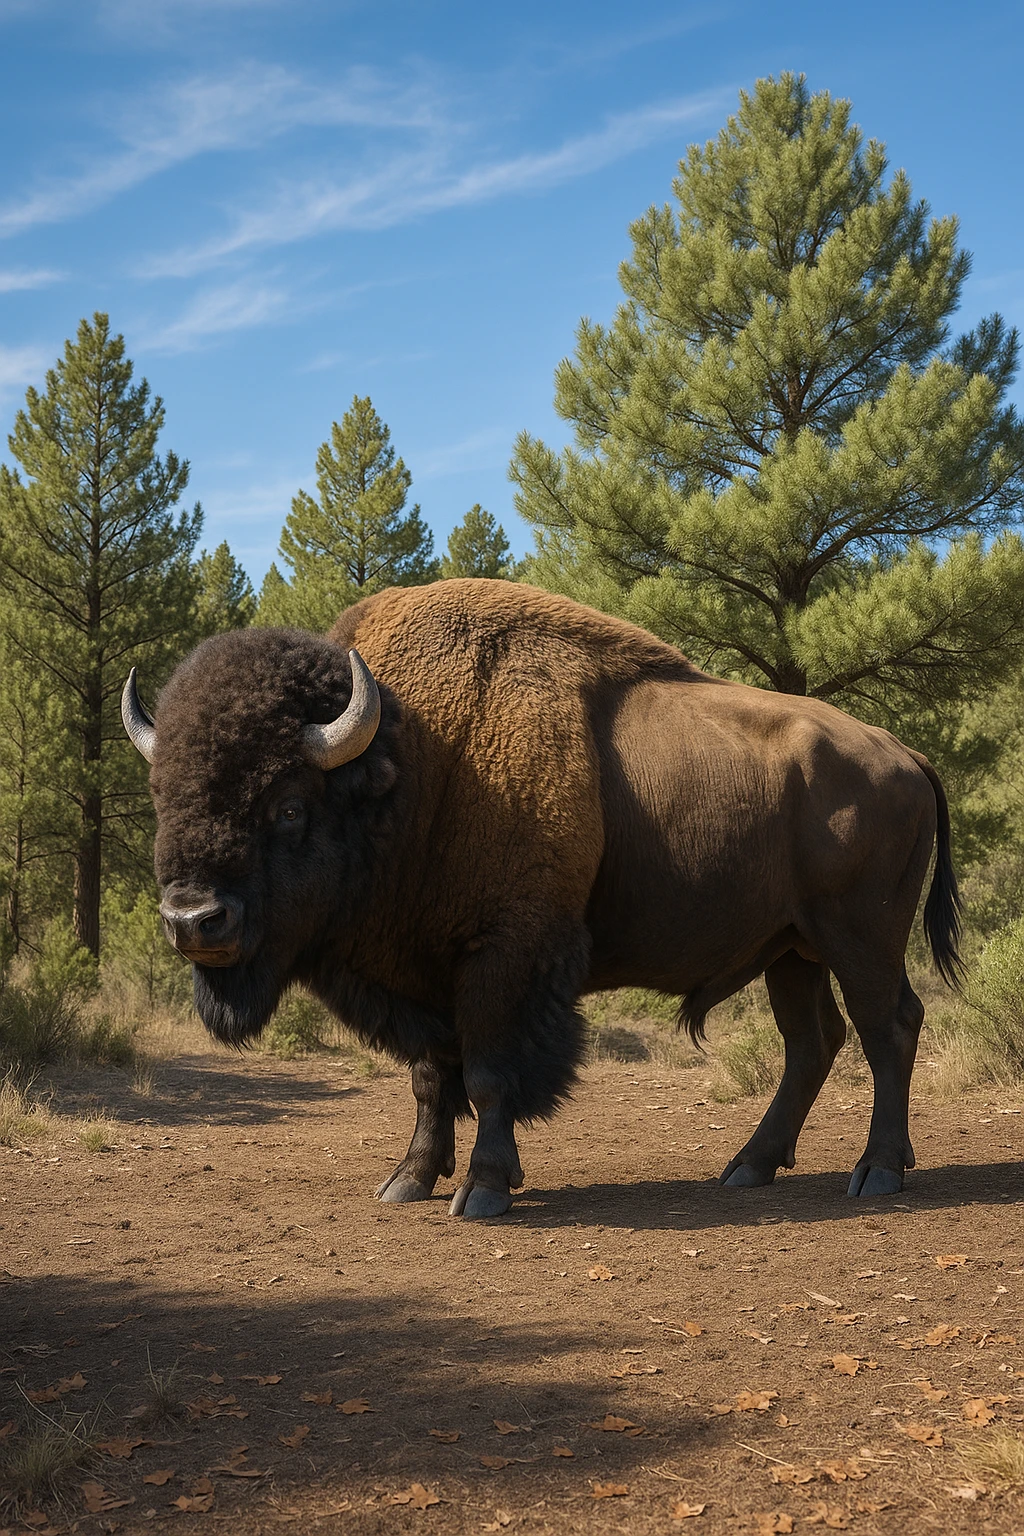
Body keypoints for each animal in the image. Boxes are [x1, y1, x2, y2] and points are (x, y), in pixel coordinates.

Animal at [122, 579, 960, 1218]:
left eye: (290, 805)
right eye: (162, 796)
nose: (195, 922)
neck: (414, 761)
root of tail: (907, 755)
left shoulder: (504, 956)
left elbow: (490, 1074)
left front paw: (485, 1190)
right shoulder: (423, 975)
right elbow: (431, 1079)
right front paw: (407, 1180)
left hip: (860, 939)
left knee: (888, 1027)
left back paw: (877, 1172)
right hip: (791, 950)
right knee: (811, 1042)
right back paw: (748, 1166)